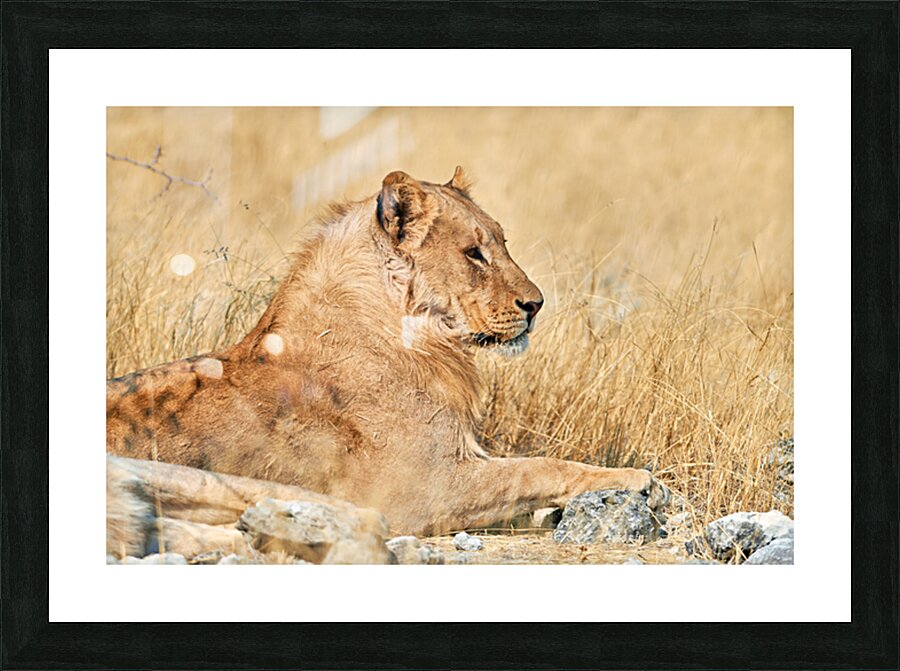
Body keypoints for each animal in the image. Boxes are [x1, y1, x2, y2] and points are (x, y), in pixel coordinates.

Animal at [107, 167, 669, 537]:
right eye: (474, 253)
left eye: (503, 243)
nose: (536, 304)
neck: (426, 340)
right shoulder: (421, 490)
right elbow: (538, 467)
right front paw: (640, 481)